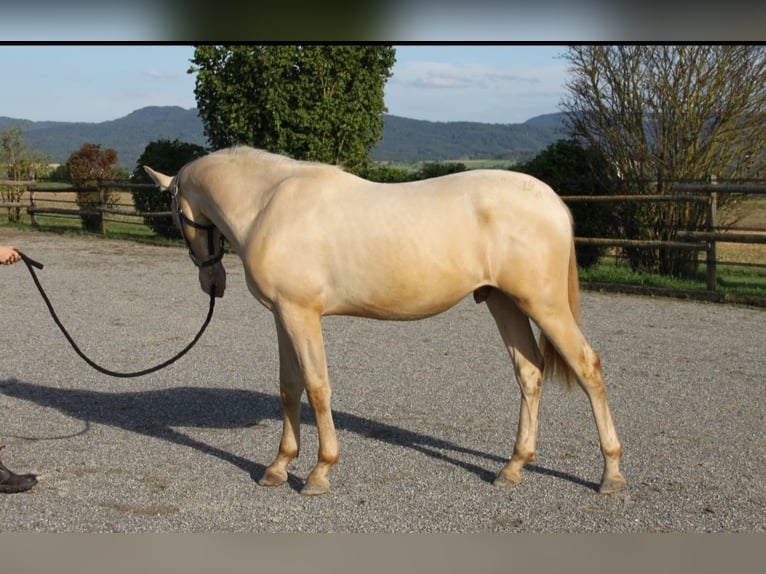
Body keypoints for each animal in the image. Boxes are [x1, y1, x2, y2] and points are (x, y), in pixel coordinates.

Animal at [146, 146, 632, 498]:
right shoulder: (284, 315)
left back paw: (610, 474)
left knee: (588, 367)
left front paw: (320, 472)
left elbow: (317, 387)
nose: (213, 282)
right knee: (529, 372)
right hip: (504, 302)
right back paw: (512, 467)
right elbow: (290, 387)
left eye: (175, 215)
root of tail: (553, 201)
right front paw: (278, 466)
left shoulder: (302, 315)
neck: (269, 204)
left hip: (543, 304)